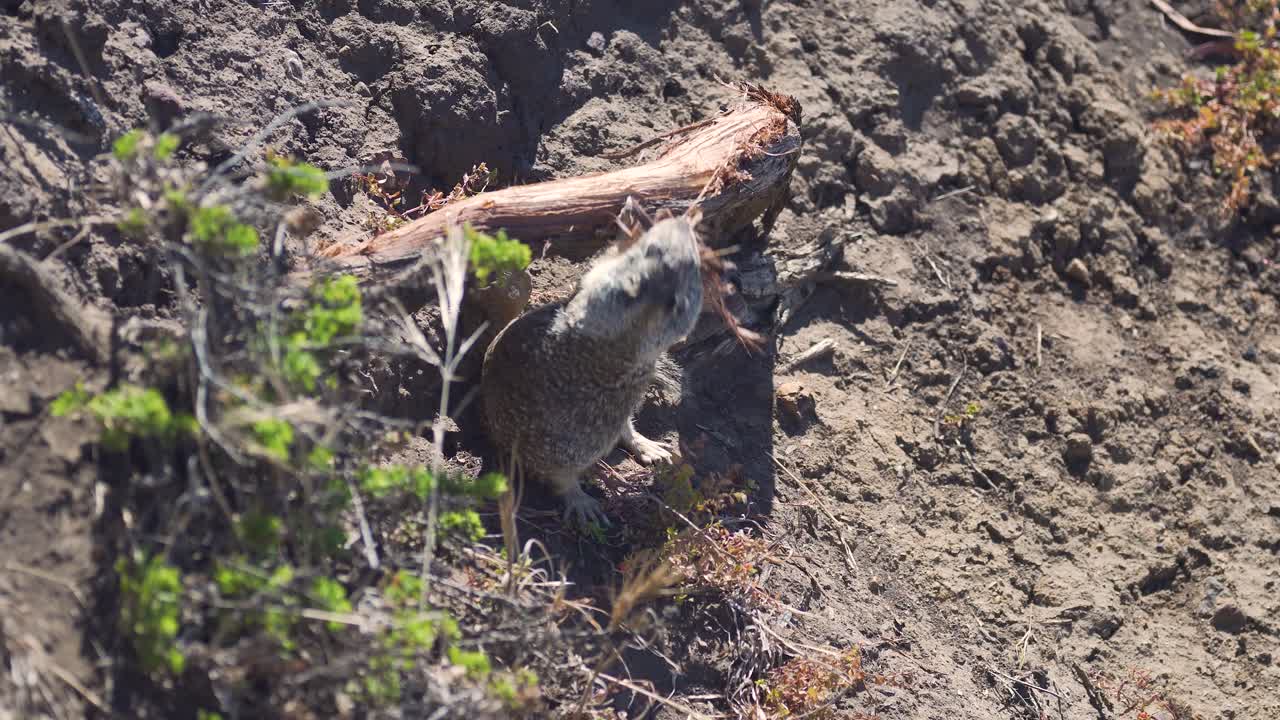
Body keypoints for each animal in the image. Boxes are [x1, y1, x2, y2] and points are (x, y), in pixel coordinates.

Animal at [479, 212, 703, 527]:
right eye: (652, 248)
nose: (682, 221)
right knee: (561, 475)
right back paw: (582, 502)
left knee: (624, 429)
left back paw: (648, 447)